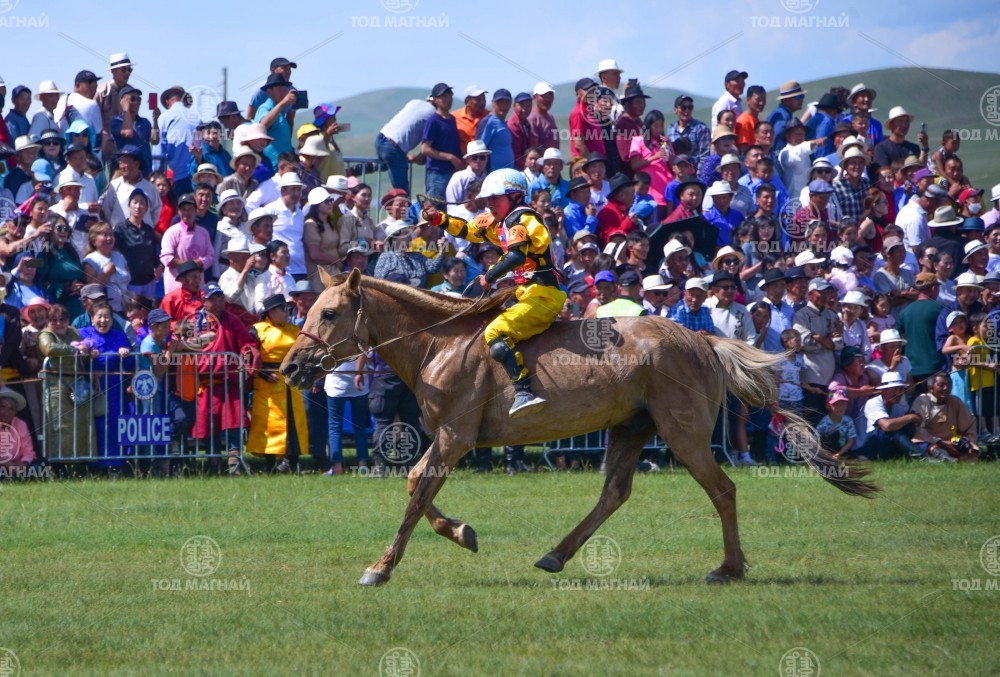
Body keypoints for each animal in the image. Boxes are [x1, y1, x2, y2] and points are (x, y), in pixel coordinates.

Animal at [280, 269, 879, 586]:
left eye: (329, 313)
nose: (290, 367)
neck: (440, 343)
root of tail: (701, 338)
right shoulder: (450, 441)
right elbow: (417, 488)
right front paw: (461, 531)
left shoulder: (453, 438)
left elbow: (415, 492)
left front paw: (381, 567)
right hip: (630, 428)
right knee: (614, 492)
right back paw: (556, 554)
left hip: (682, 434)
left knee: (722, 489)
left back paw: (728, 568)